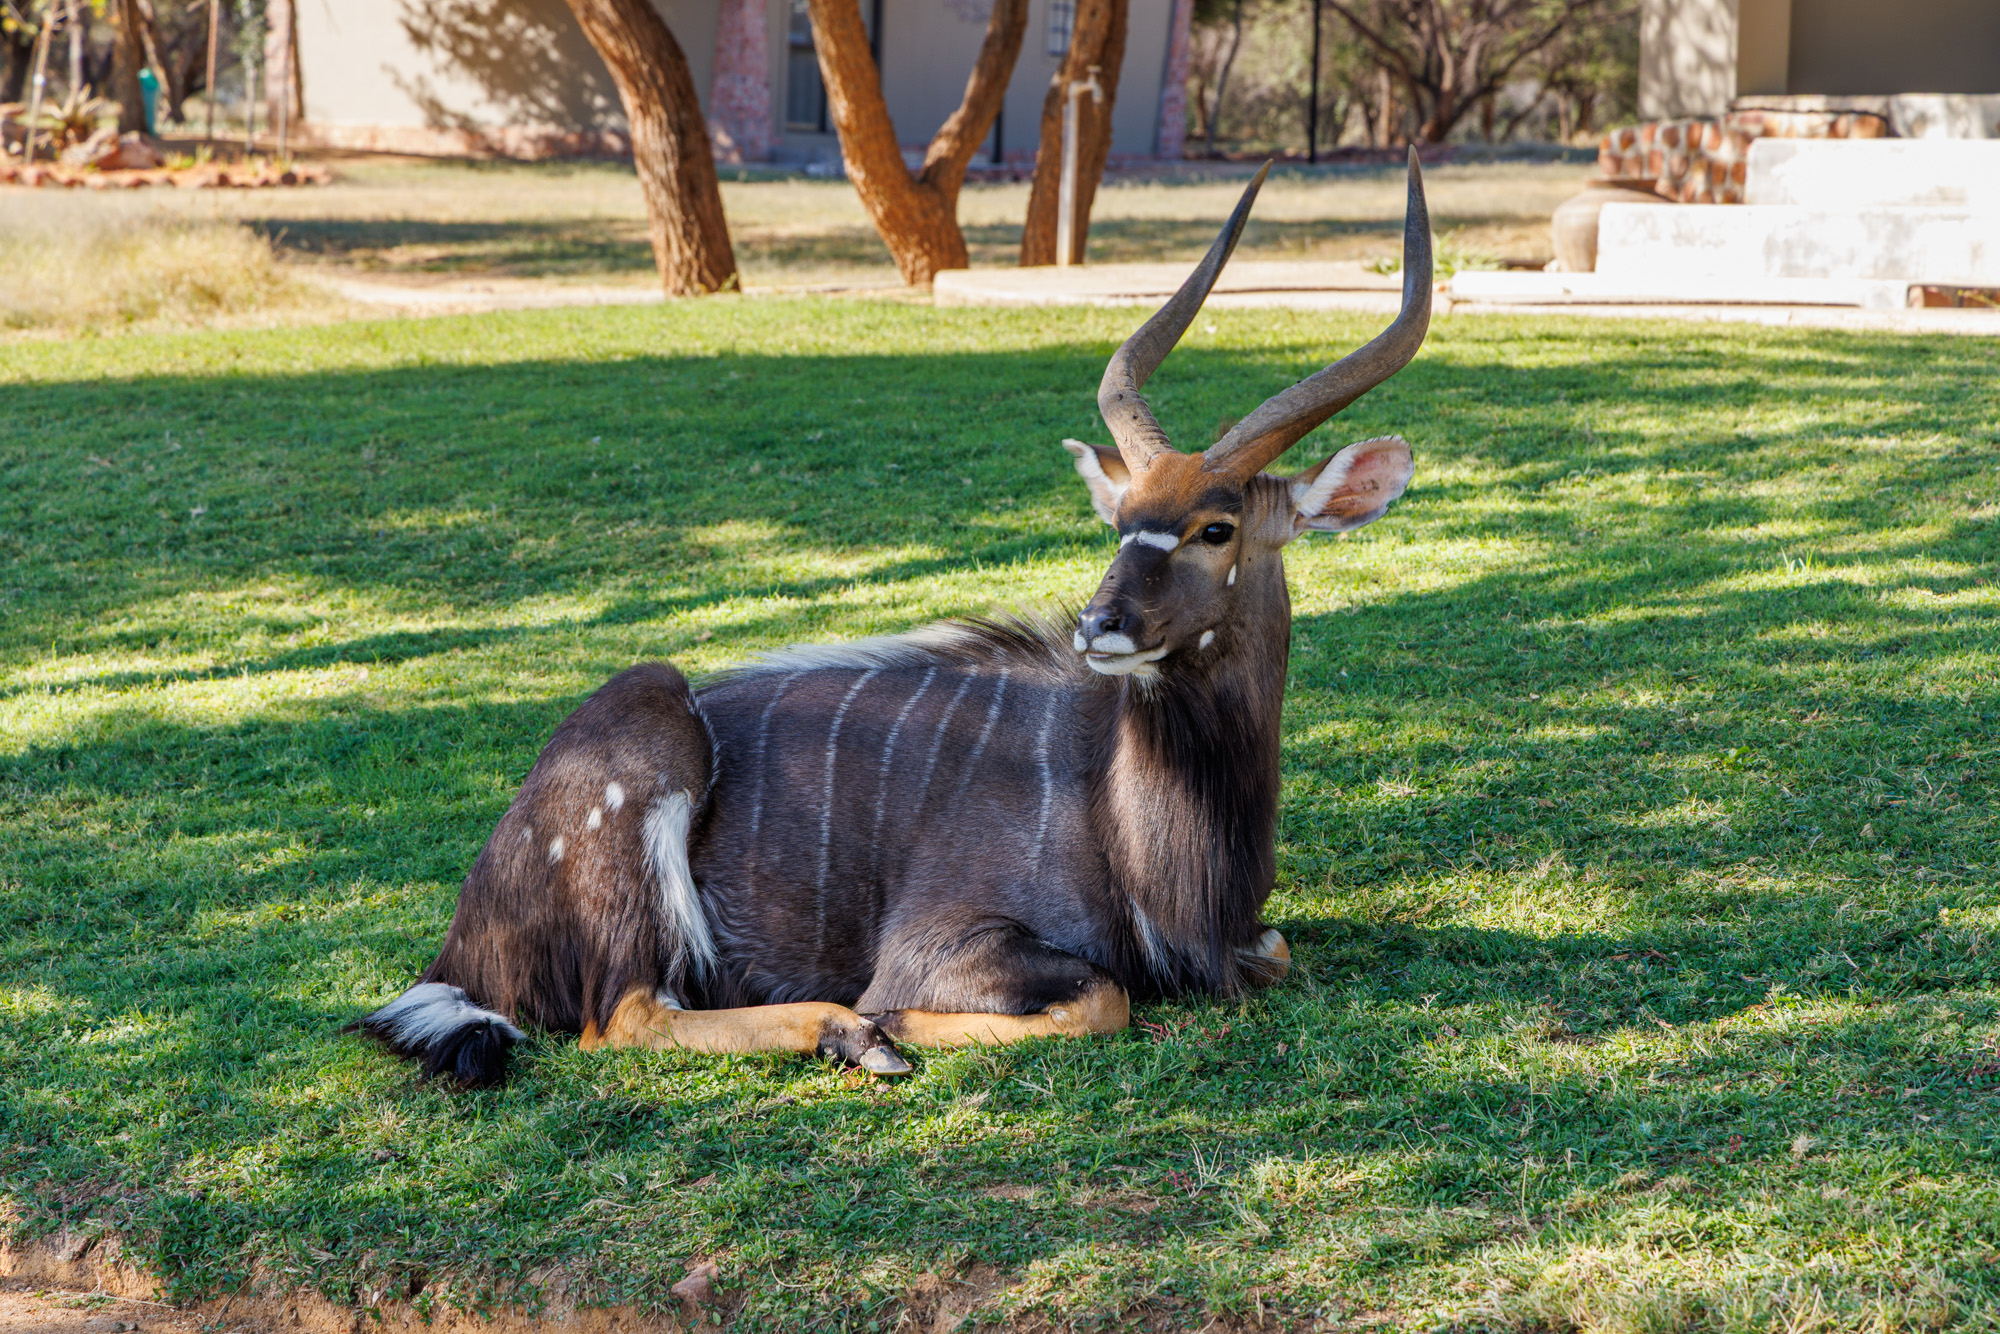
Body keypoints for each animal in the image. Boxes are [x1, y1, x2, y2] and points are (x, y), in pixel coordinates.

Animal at [355, 152, 1432, 1085]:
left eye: (1217, 527)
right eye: (1122, 517)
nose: (1100, 626)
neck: (1129, 822)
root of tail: (461, 944)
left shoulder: (1253, 939)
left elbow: (1270, 952)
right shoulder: (940, 944)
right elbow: (1102, 995)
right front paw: (883, 1023)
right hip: (646, 760)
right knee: (621, 1015)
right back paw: (850, 1036)